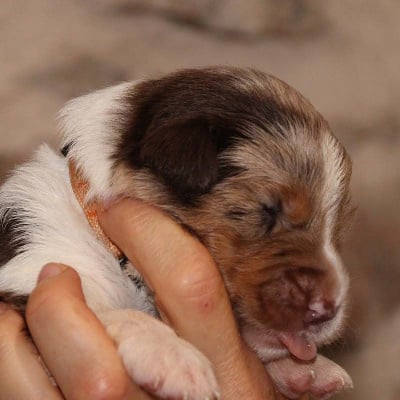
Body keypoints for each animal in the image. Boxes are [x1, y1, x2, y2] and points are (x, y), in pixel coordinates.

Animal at [0, 67, 354, 398]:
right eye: (269, 209)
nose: (329, 310)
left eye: (338, 226)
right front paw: (172, 355)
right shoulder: (28, 270)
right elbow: (105, 310)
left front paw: (305, 370)